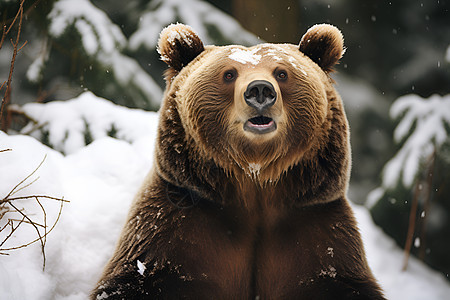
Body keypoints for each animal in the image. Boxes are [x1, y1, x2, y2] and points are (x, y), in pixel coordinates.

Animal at [92, 24, 386, 300]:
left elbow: (339, 281)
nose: (260, 90)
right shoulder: (174, 221)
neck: (254, 181)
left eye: (282, 73)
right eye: (229, 74)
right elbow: (136, 279)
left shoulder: (317, 226)